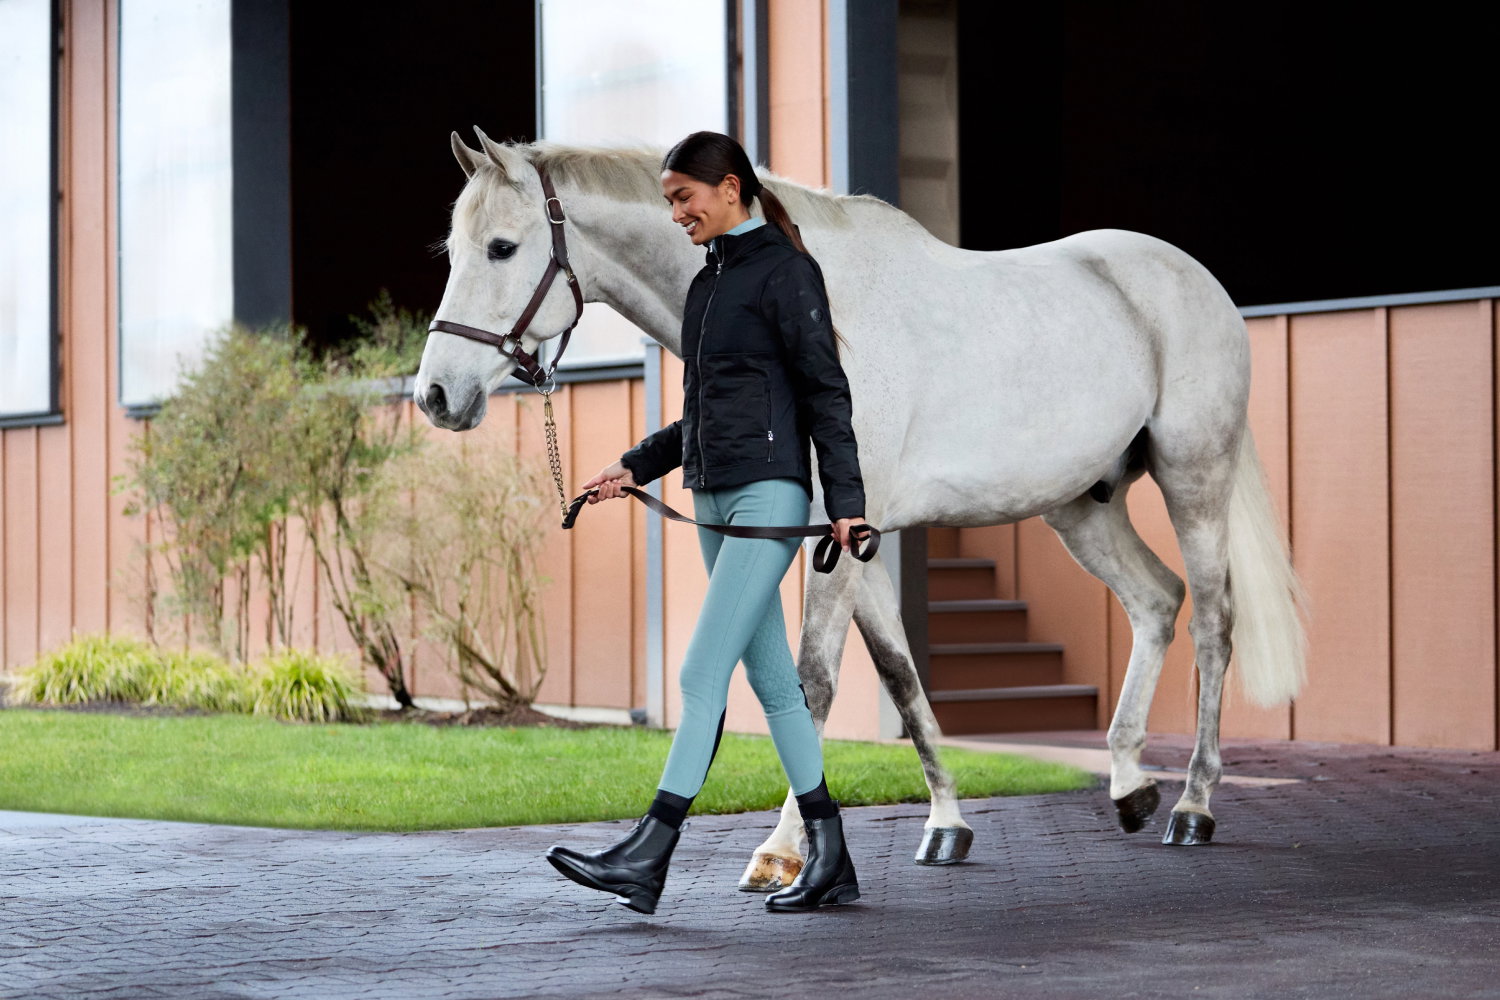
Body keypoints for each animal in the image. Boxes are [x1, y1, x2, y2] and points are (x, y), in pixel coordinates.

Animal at [415, 128, 1307, 888]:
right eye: (455, 249)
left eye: (503, 247)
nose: (435, 396)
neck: (823, 302)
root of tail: (1195, 281)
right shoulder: (849, 536)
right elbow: (899, 677)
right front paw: (945, 825)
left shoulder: (836, 540)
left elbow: (813, 681)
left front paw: (783, 853)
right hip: (1080, 507)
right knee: (1156, 600)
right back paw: (1127, 786)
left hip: (1194, 480)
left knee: (1213, 621)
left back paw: (1193, 805)